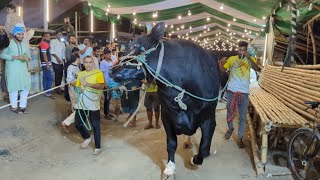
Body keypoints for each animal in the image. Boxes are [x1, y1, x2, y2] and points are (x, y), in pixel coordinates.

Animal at [110, 22, 220, 167]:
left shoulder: (209, 118)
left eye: (136, 46)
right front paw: (170, 167)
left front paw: (195, 158)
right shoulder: (167, 117)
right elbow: (171, 144)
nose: (111, 71)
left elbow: (204, 148)